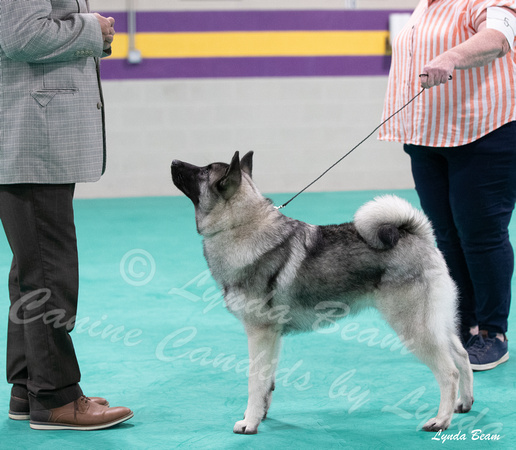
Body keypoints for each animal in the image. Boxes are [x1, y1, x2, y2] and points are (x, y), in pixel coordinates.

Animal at [171, 152, 474, 436]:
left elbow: (254, 381)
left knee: (448, 372)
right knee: (461, 356)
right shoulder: (272, 337)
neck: (241, 226)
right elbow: (268, 381)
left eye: (203, 171)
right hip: (438, 323)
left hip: (414, 328)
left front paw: (249, 422)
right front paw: (261, 414)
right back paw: (465, 404)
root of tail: (417, 235)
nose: (174, 161)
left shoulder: (260, 333)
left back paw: (440, 420)